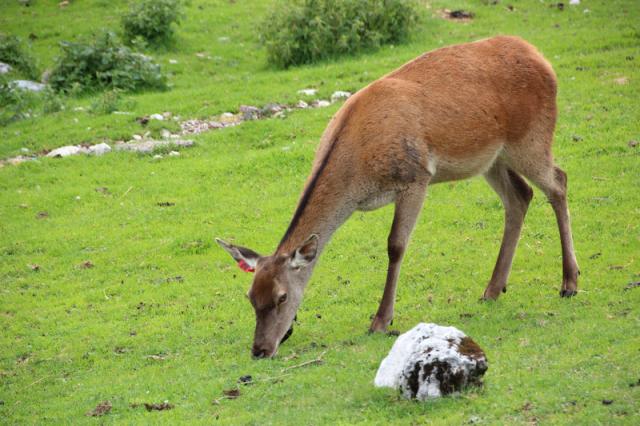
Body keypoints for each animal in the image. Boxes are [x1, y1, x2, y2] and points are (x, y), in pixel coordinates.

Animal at [216, 36, 579, 359]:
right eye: (251, 297)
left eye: (281, 297)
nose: (260, 350)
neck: (358, 171)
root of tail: (541, 59)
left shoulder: (415, 178)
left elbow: (395, 245)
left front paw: (381, 320)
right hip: (491, 158)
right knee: (520, 196)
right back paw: (492, 289)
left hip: (531, 139)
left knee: (559, 182)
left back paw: (569, 282)